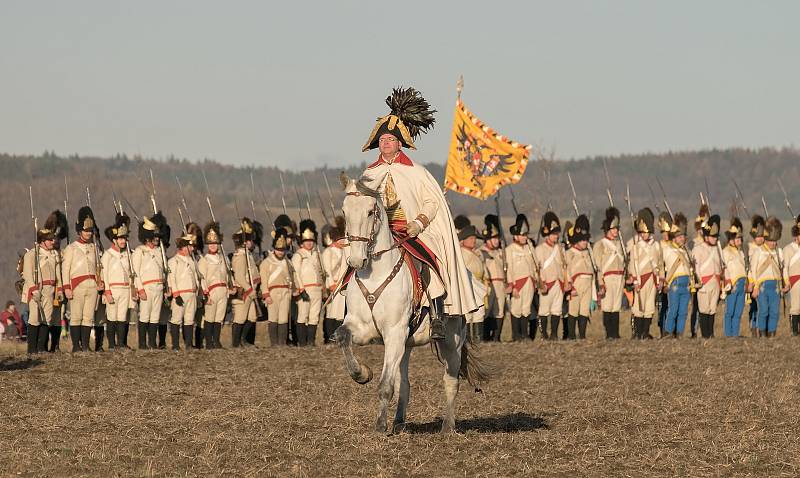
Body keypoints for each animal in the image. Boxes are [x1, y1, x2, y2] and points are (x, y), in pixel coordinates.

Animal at [332, 173, 488, 434]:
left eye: (371, 212)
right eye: (345, 210)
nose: (355, 260)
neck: (376, 273)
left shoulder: (394, 332)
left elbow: (385, 384)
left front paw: (380, 426)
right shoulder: (362, 328)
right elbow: (344, 337)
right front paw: (362, 373)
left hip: (452, 341)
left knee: (450, 380)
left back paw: (447, 427)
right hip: (405, 345)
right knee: (404, 382)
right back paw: (399, 421)